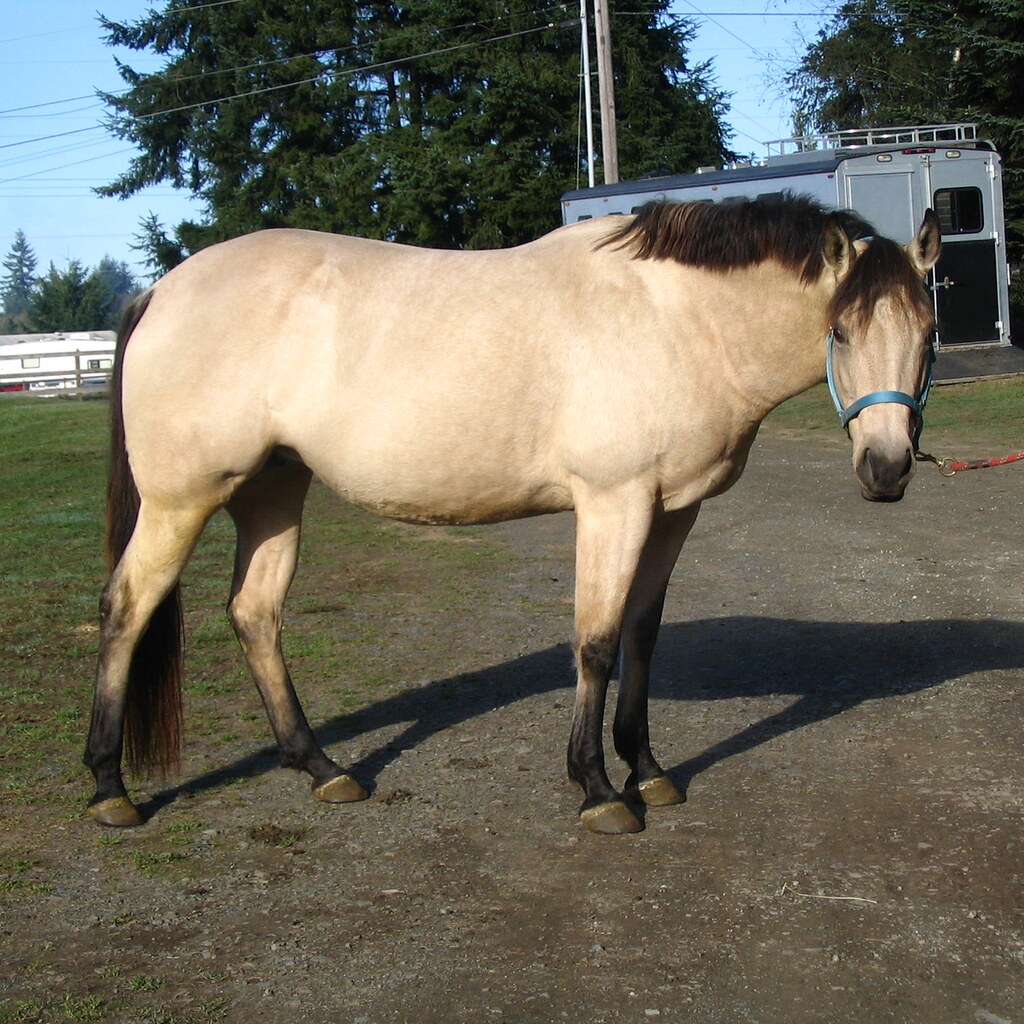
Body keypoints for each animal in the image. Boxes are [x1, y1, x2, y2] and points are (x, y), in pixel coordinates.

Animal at [84, 194, 941, 835]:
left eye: (928, 335)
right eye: (839, 330)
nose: (888, 469)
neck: (673, 317)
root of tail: (161, 290)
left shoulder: (673, 510)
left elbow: (642, 637)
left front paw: (648, 771)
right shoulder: (614, 502)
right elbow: (596, 641)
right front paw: (598, 790)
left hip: (271, 489)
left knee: (255, 613)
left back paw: (322, 769)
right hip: (183, 499)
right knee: (127, 607)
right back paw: (109, 789)